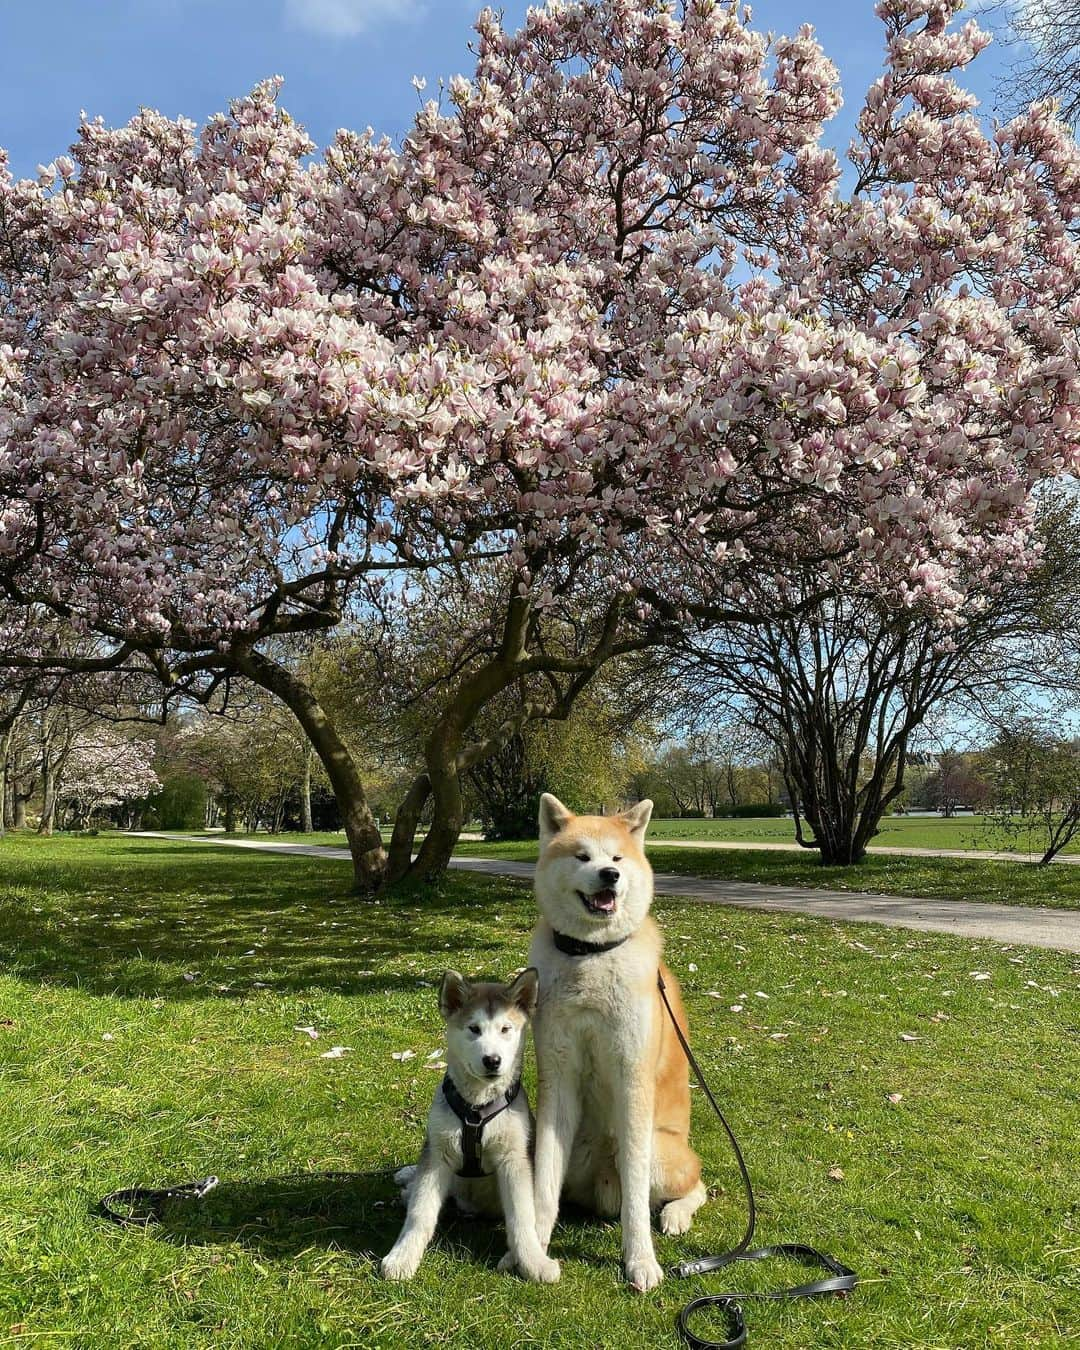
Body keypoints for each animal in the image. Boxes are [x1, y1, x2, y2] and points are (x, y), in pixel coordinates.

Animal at [380, 966, 561, 1279]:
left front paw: (533, 1261)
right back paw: (408, 1179)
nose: (492, 1060)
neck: (476, 1109)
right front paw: (403, 1255)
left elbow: (522, 1217)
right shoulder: (437, 1154)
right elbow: (420, 1213)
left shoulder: (514, 1158)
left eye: (505, 1029)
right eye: (474, 1029)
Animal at [526, 793, 707, 1290]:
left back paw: (676, 1216)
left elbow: (636, 1205)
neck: (591, 957)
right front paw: (533, 1248)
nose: (610, 874)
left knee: (695, 1185)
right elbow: (543, 1184)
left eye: (618, 858)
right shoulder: (557, 1081)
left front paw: (641, 1261)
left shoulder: (633, 1080)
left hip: (662, 1154)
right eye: (582, 856)